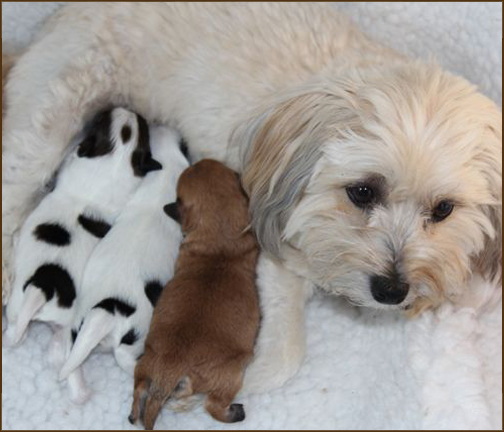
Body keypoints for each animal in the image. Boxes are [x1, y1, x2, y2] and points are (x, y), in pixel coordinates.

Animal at [4, 107, 161, 401]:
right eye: (144, 131)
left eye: (101, 120)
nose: (125, 108)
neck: (113, 158)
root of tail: (47, 287)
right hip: (69, 324)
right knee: (65, 355)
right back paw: (82, 392)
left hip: (18, 305)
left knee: (16, 330)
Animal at [58, 126, 189, 396]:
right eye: (185, 145)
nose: (166, 125)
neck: (166, 164)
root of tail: (106, 311)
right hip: (138, 331)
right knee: (124, 356)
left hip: (77, 326)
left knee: (72, 354)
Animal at [129, 159, 260, 429]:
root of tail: (172, 364)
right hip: (231, 374)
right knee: (213, 405)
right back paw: (235, 413)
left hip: (144, 363)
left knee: (140, 387)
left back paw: (134, 413)